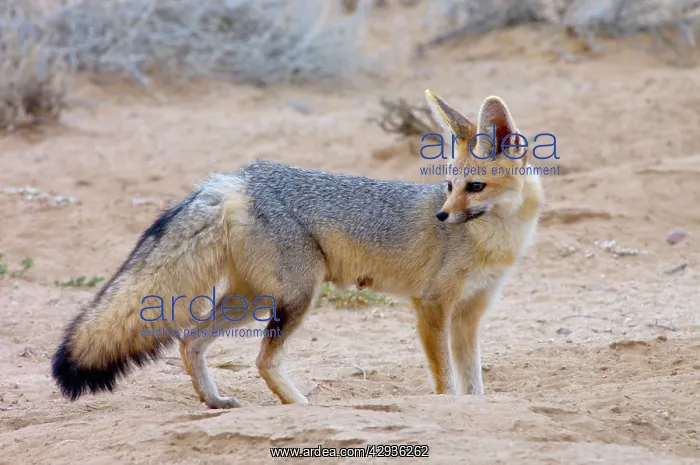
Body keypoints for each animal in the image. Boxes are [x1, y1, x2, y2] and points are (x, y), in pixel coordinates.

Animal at [51, 91, 544, 409]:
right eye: (448, 186)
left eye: (474, 187)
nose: (441, 216)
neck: (496, 239)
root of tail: (238, 178)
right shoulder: (432, 306)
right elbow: (446, 380)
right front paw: (448, 405)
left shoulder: (469, 314)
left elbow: (473, 381)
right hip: (298, 296)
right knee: (263, 359)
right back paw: (301, 405)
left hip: (250, 298)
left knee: (191, 339)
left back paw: (214, 400)